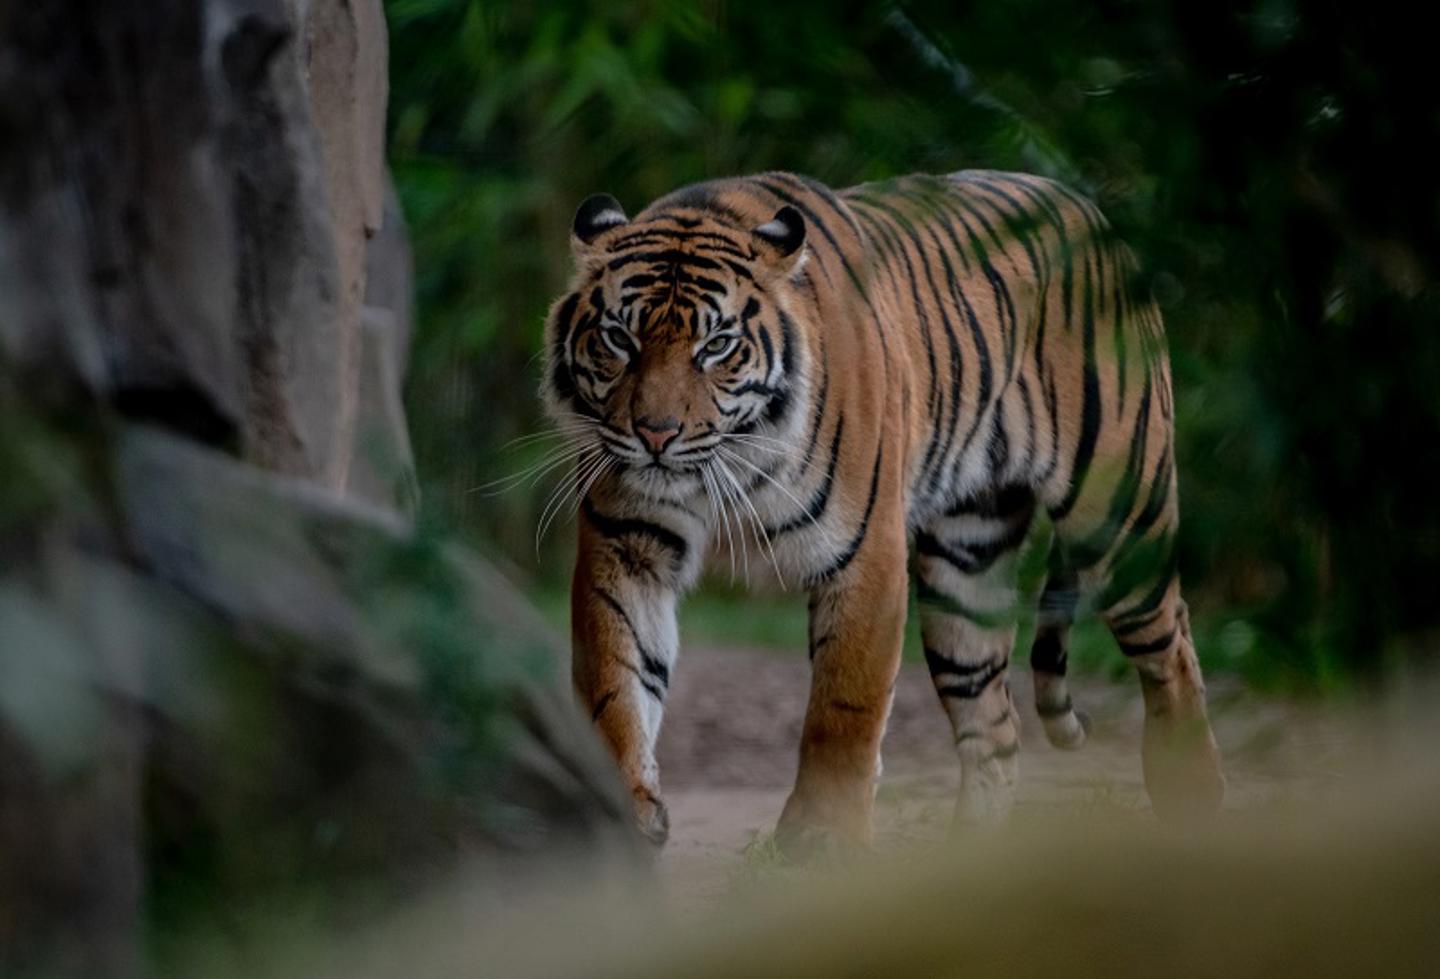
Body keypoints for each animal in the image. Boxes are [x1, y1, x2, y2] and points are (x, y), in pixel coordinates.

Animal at [541, 170, 1225, 851]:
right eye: (619, 339)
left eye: (716, 346)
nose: (655, 435)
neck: (730, 459)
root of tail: (1092, 213)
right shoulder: (627, 542)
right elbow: (615, 677)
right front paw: (627, 810)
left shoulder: (865, 551)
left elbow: (845, 705)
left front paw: (822, 832)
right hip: (966, 566)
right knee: (995, 726)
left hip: (1120, 514)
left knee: (1172, 648)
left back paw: (1193, 795)